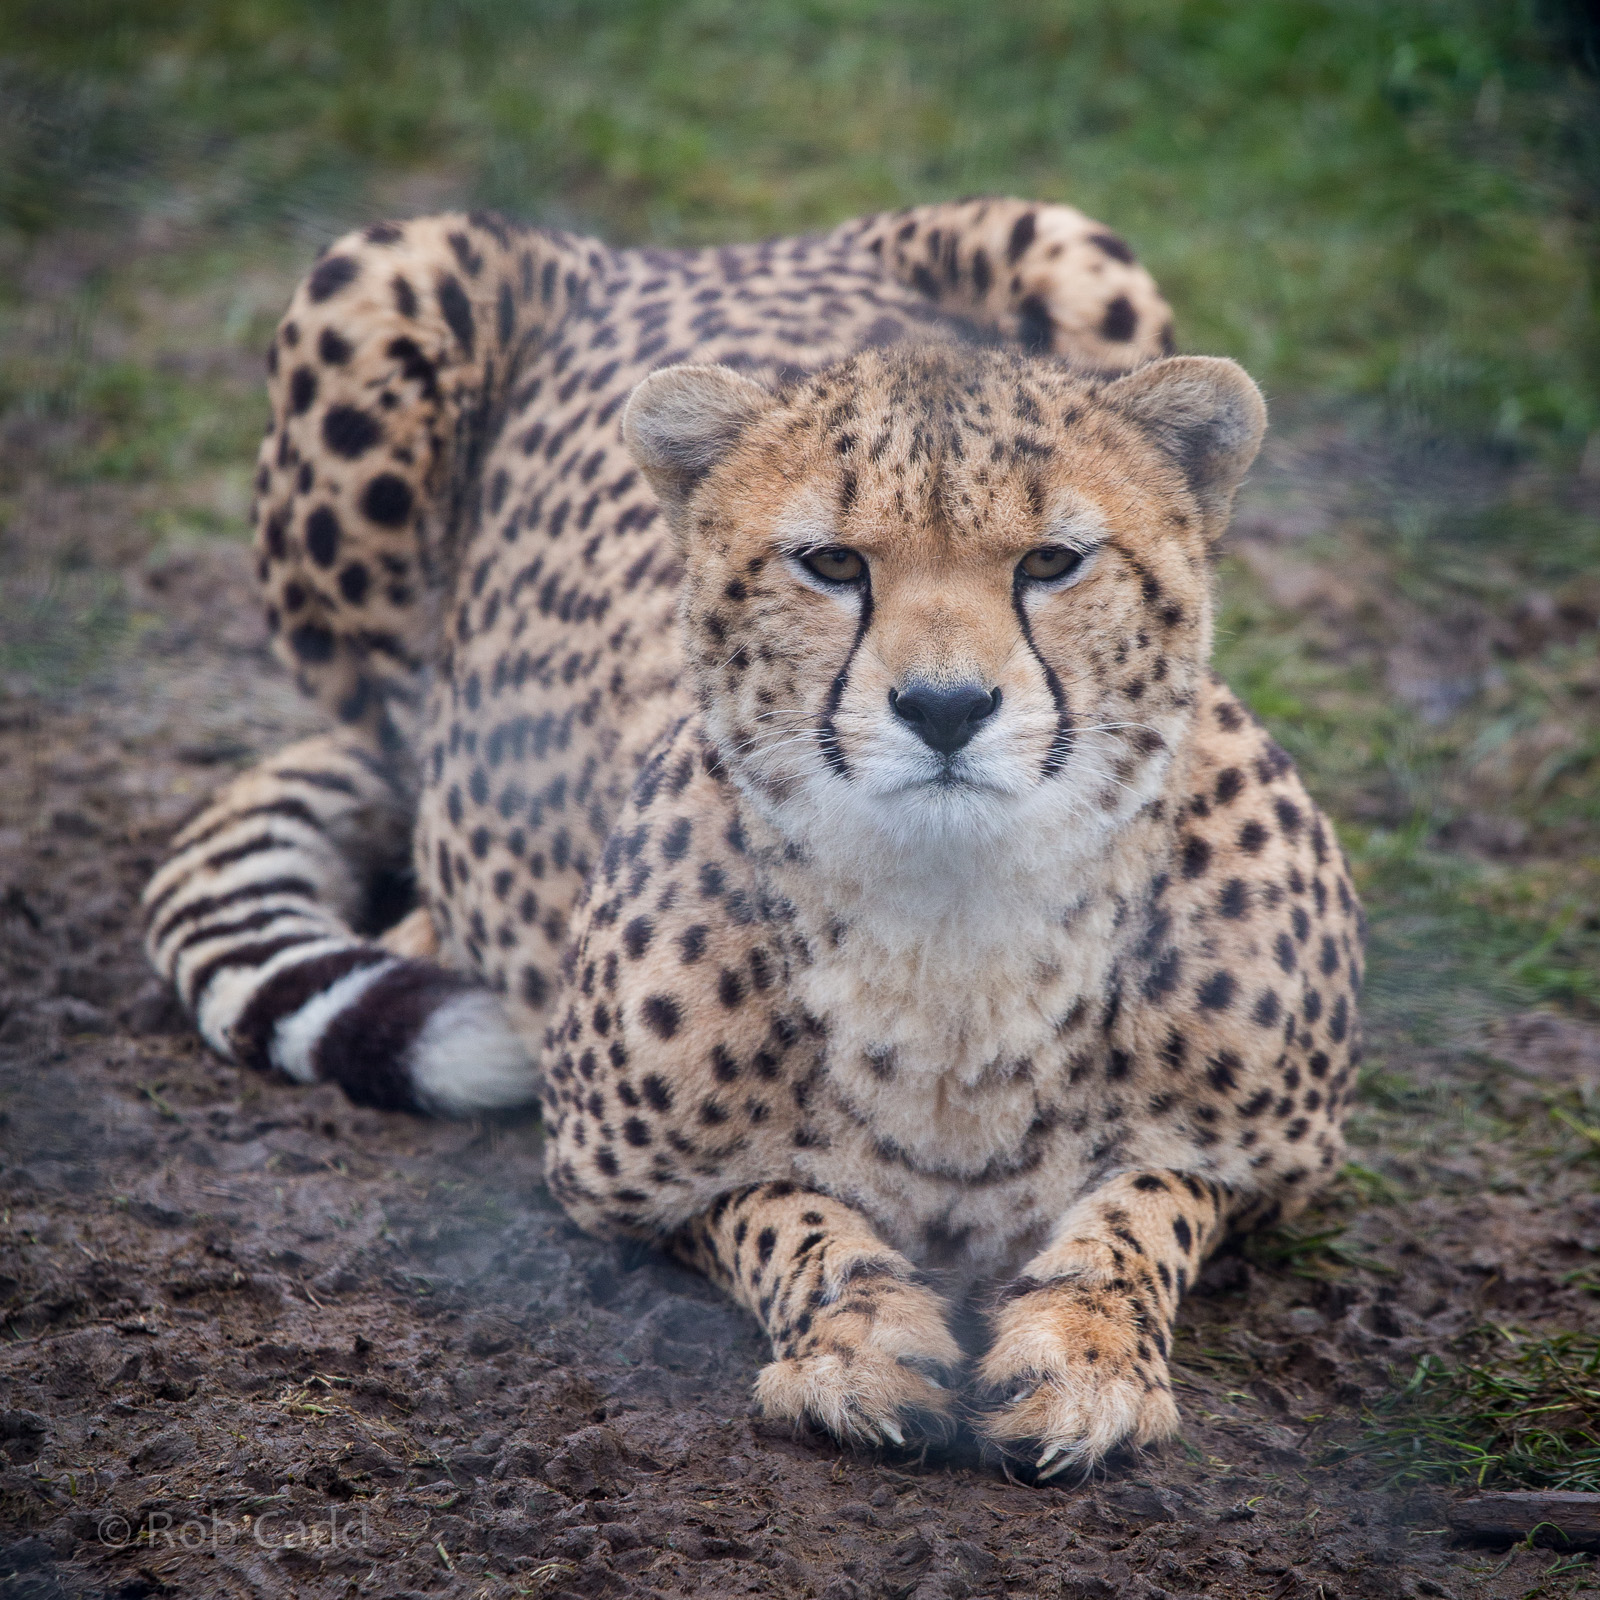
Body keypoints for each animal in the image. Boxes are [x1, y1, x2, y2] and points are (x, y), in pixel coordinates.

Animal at [141, 196, 1364, 1474]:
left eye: (1050, 561)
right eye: (831, 563)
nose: (944, 707)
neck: (956, 933)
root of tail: (673, 249)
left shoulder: (1278, 1167)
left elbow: (1143, 1209)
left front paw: (1084, 1354)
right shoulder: (612, 1182)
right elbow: (780, 1210)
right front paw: (856, 1336)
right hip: (378, 298)